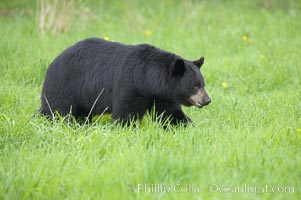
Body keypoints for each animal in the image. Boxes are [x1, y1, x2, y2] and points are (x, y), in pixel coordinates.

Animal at [38, 38, 210, 125]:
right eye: (195, 86)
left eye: (203, 84)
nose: (207, 100)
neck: (148, 80)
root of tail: (52, 63)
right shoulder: (130, 86)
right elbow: (126, 113)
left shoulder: (162, 96)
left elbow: (170, 114)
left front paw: (186, 126)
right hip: (64, 85)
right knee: (57, 110)